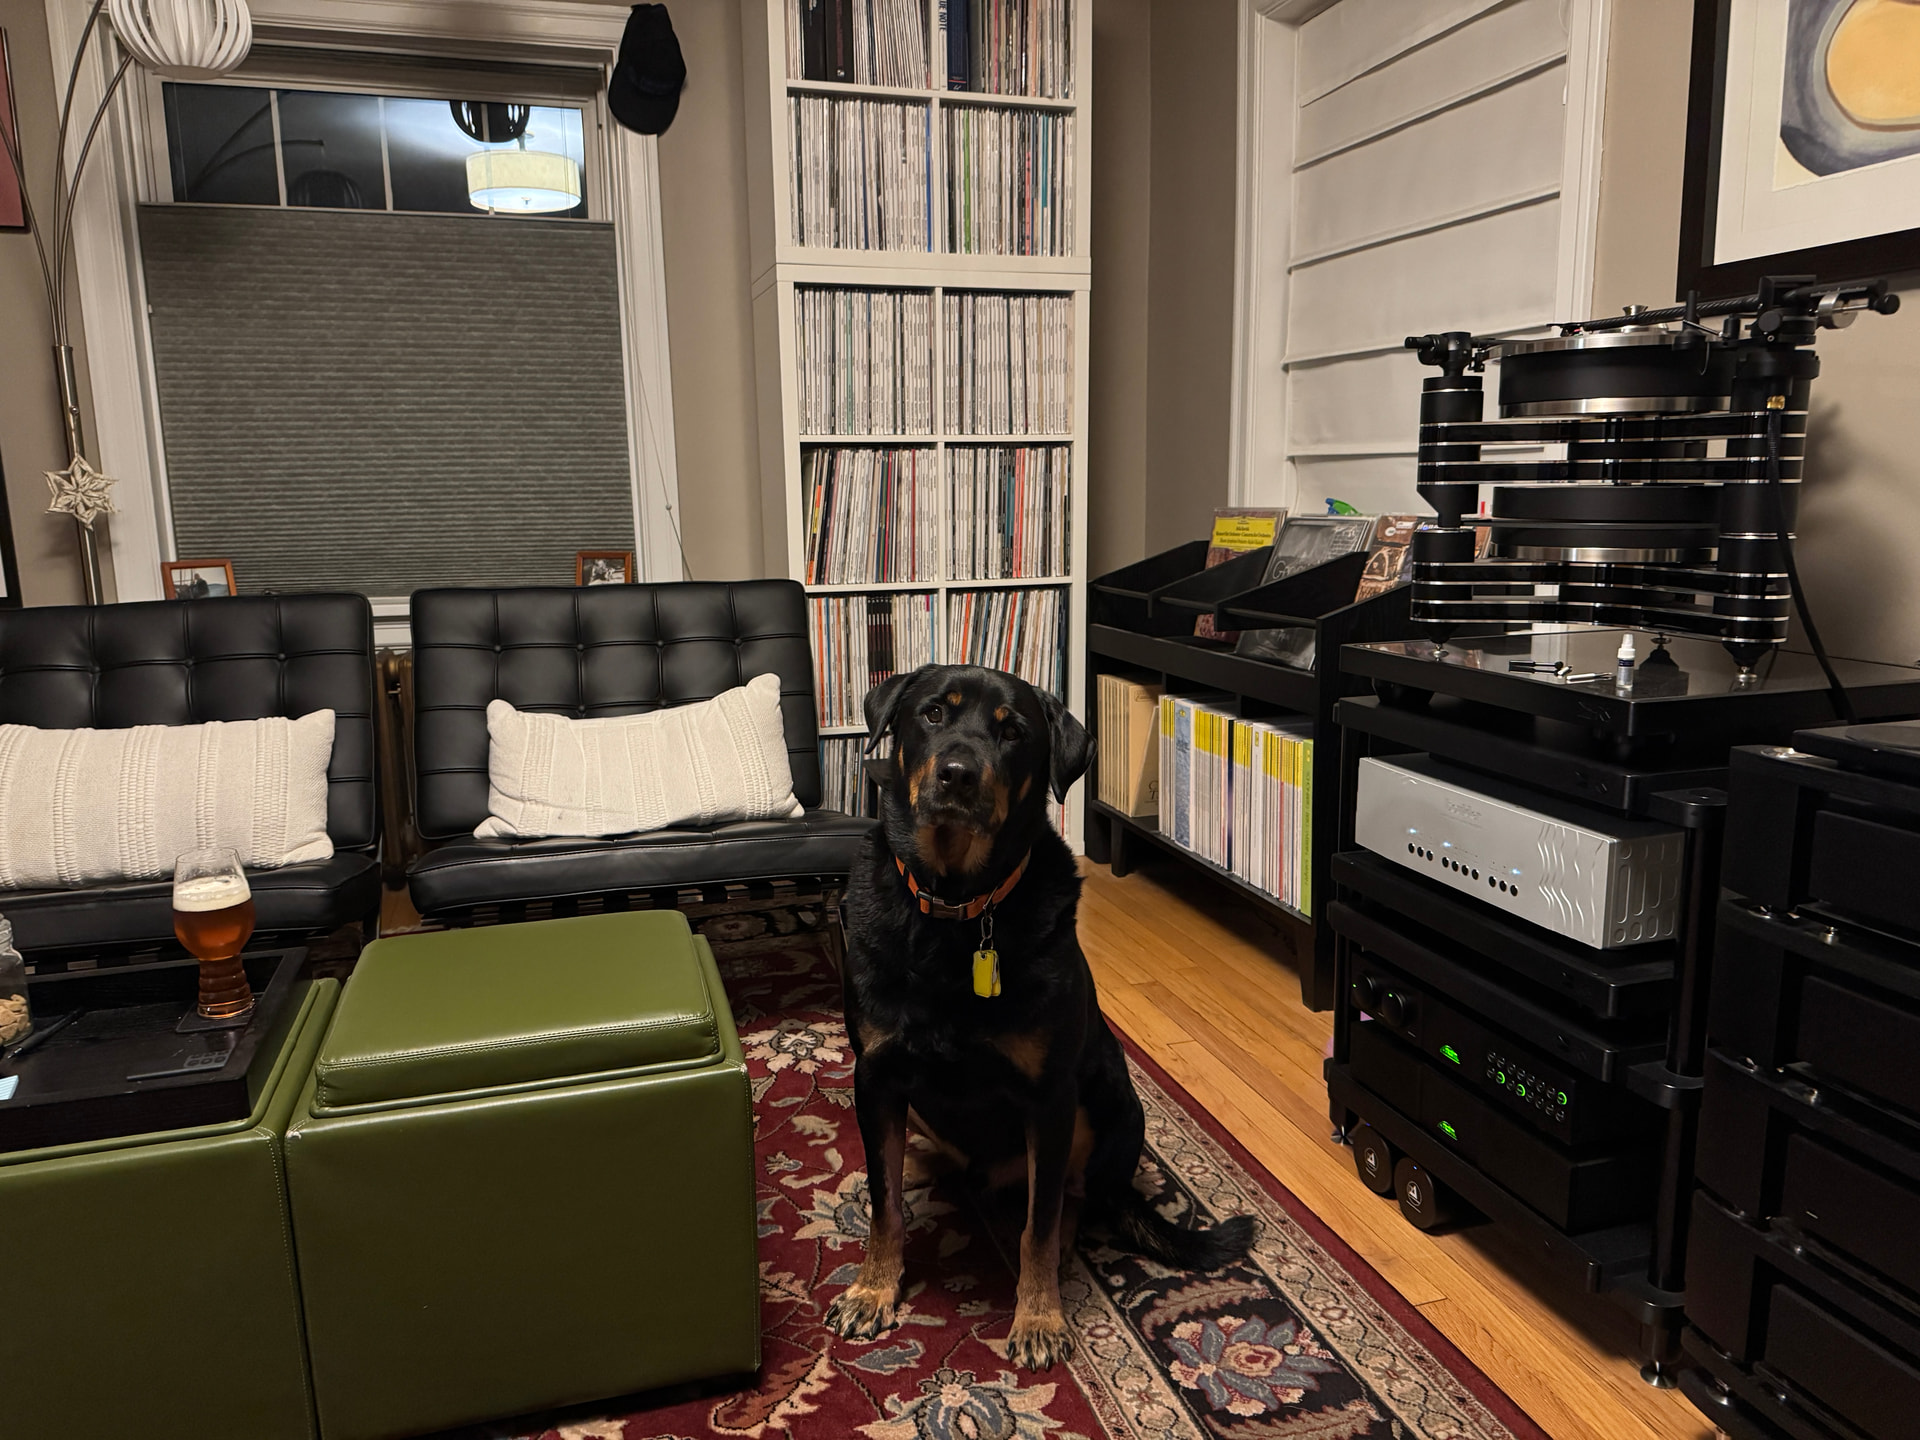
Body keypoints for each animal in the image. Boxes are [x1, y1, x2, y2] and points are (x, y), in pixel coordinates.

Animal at [823, 664, 1255, 1371]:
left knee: (1072, 1202)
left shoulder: (1048, 1097)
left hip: (1111, 1100)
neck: (957, 906)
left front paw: (1039, 1318)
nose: (958, 774)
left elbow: (1039, 1227)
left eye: (1014, 732)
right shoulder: (877, 1075)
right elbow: (886, 1206)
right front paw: (873, 1289)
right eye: (933, 713)